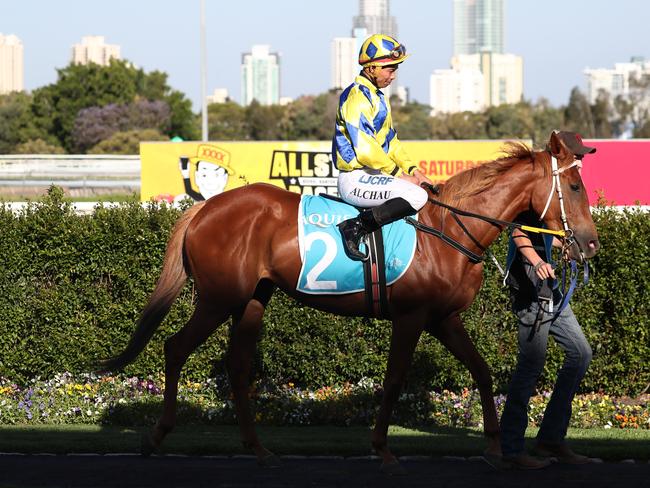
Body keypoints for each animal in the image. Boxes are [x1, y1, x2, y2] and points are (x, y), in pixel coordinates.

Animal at [101, 132, 596, 472]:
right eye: (574, 187)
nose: (589, 244)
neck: (449, 232)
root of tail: (206, 207)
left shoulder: (443, 318)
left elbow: (482, 371)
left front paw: (495, 446)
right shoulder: (411, 317)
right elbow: (394, 379)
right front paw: (383, 449)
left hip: (253, 300)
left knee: (237, 365)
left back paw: (258, 448)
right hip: (218, 299)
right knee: (175, 348)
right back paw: (156, 436)